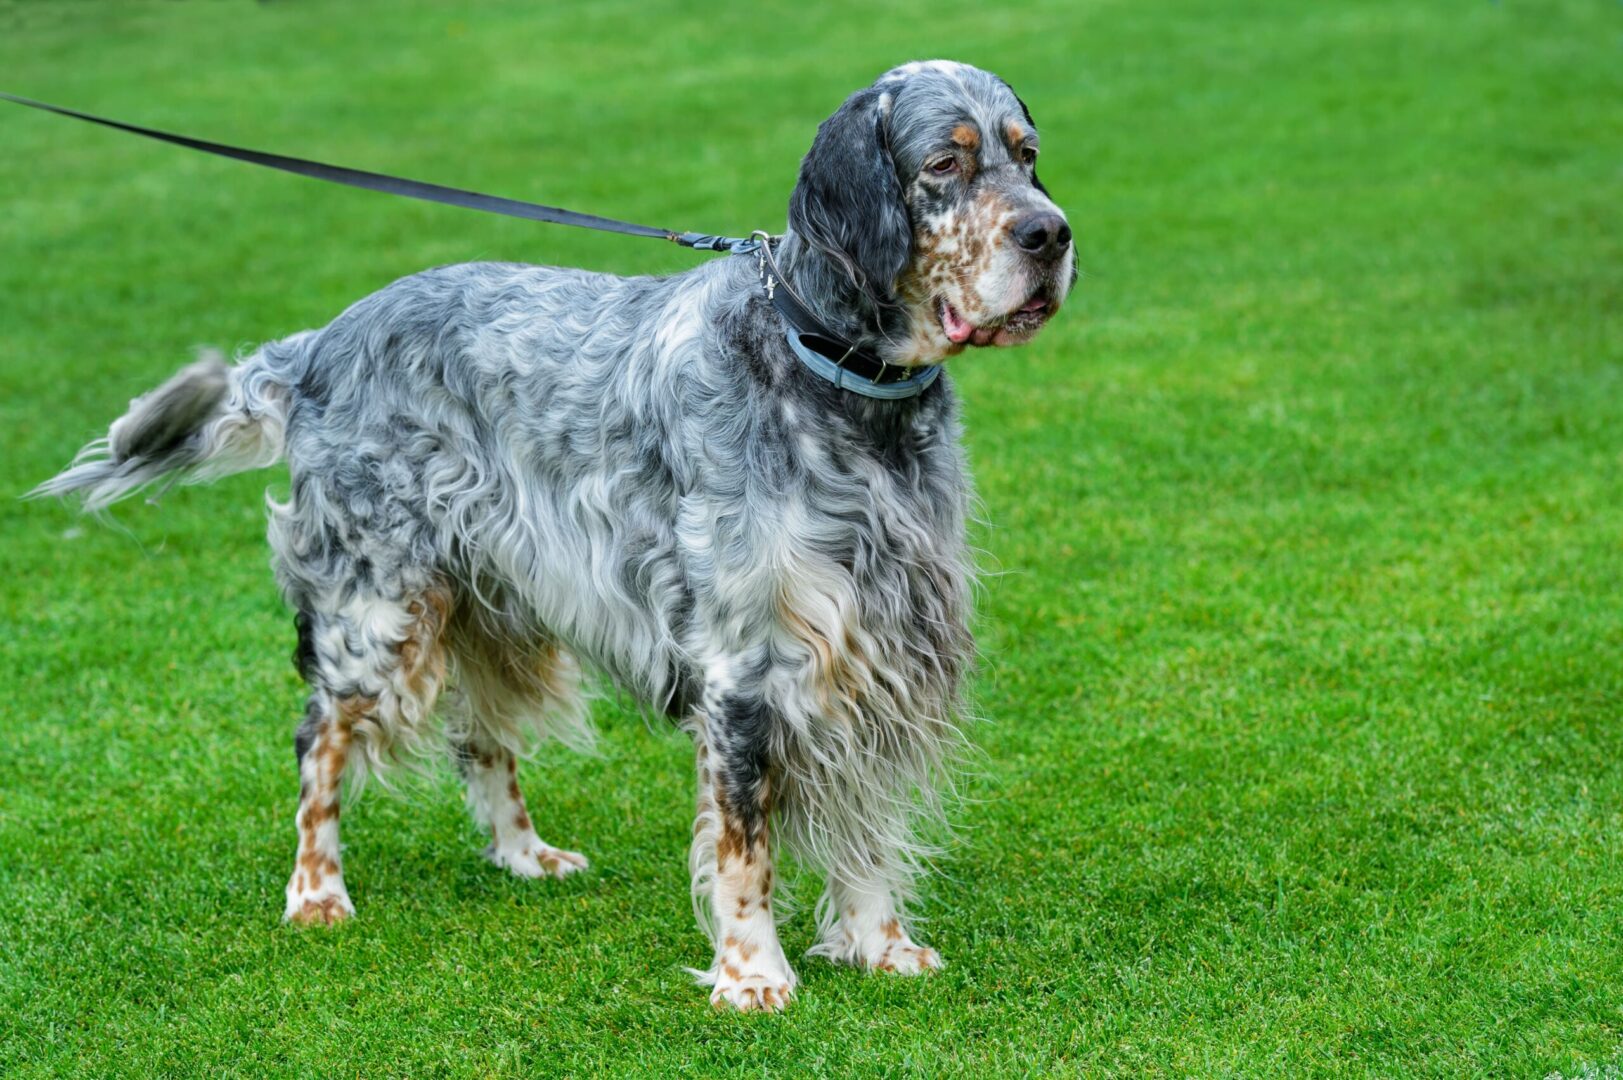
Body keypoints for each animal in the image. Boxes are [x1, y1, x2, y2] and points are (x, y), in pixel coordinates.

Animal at [38, 60, 1071, 1013]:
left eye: (1026, 156)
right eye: (944, 164)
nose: (1051, 235)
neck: (837, 384)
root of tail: (319, 345)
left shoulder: (882, 639)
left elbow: (868, 827)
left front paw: (877, 944)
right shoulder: (745, 665)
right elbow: (745, 847)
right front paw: (752, 976)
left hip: (496, 604)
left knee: (478, 737)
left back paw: (524, 855)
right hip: (382, 611)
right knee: (318, 741)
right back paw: (315, 893)